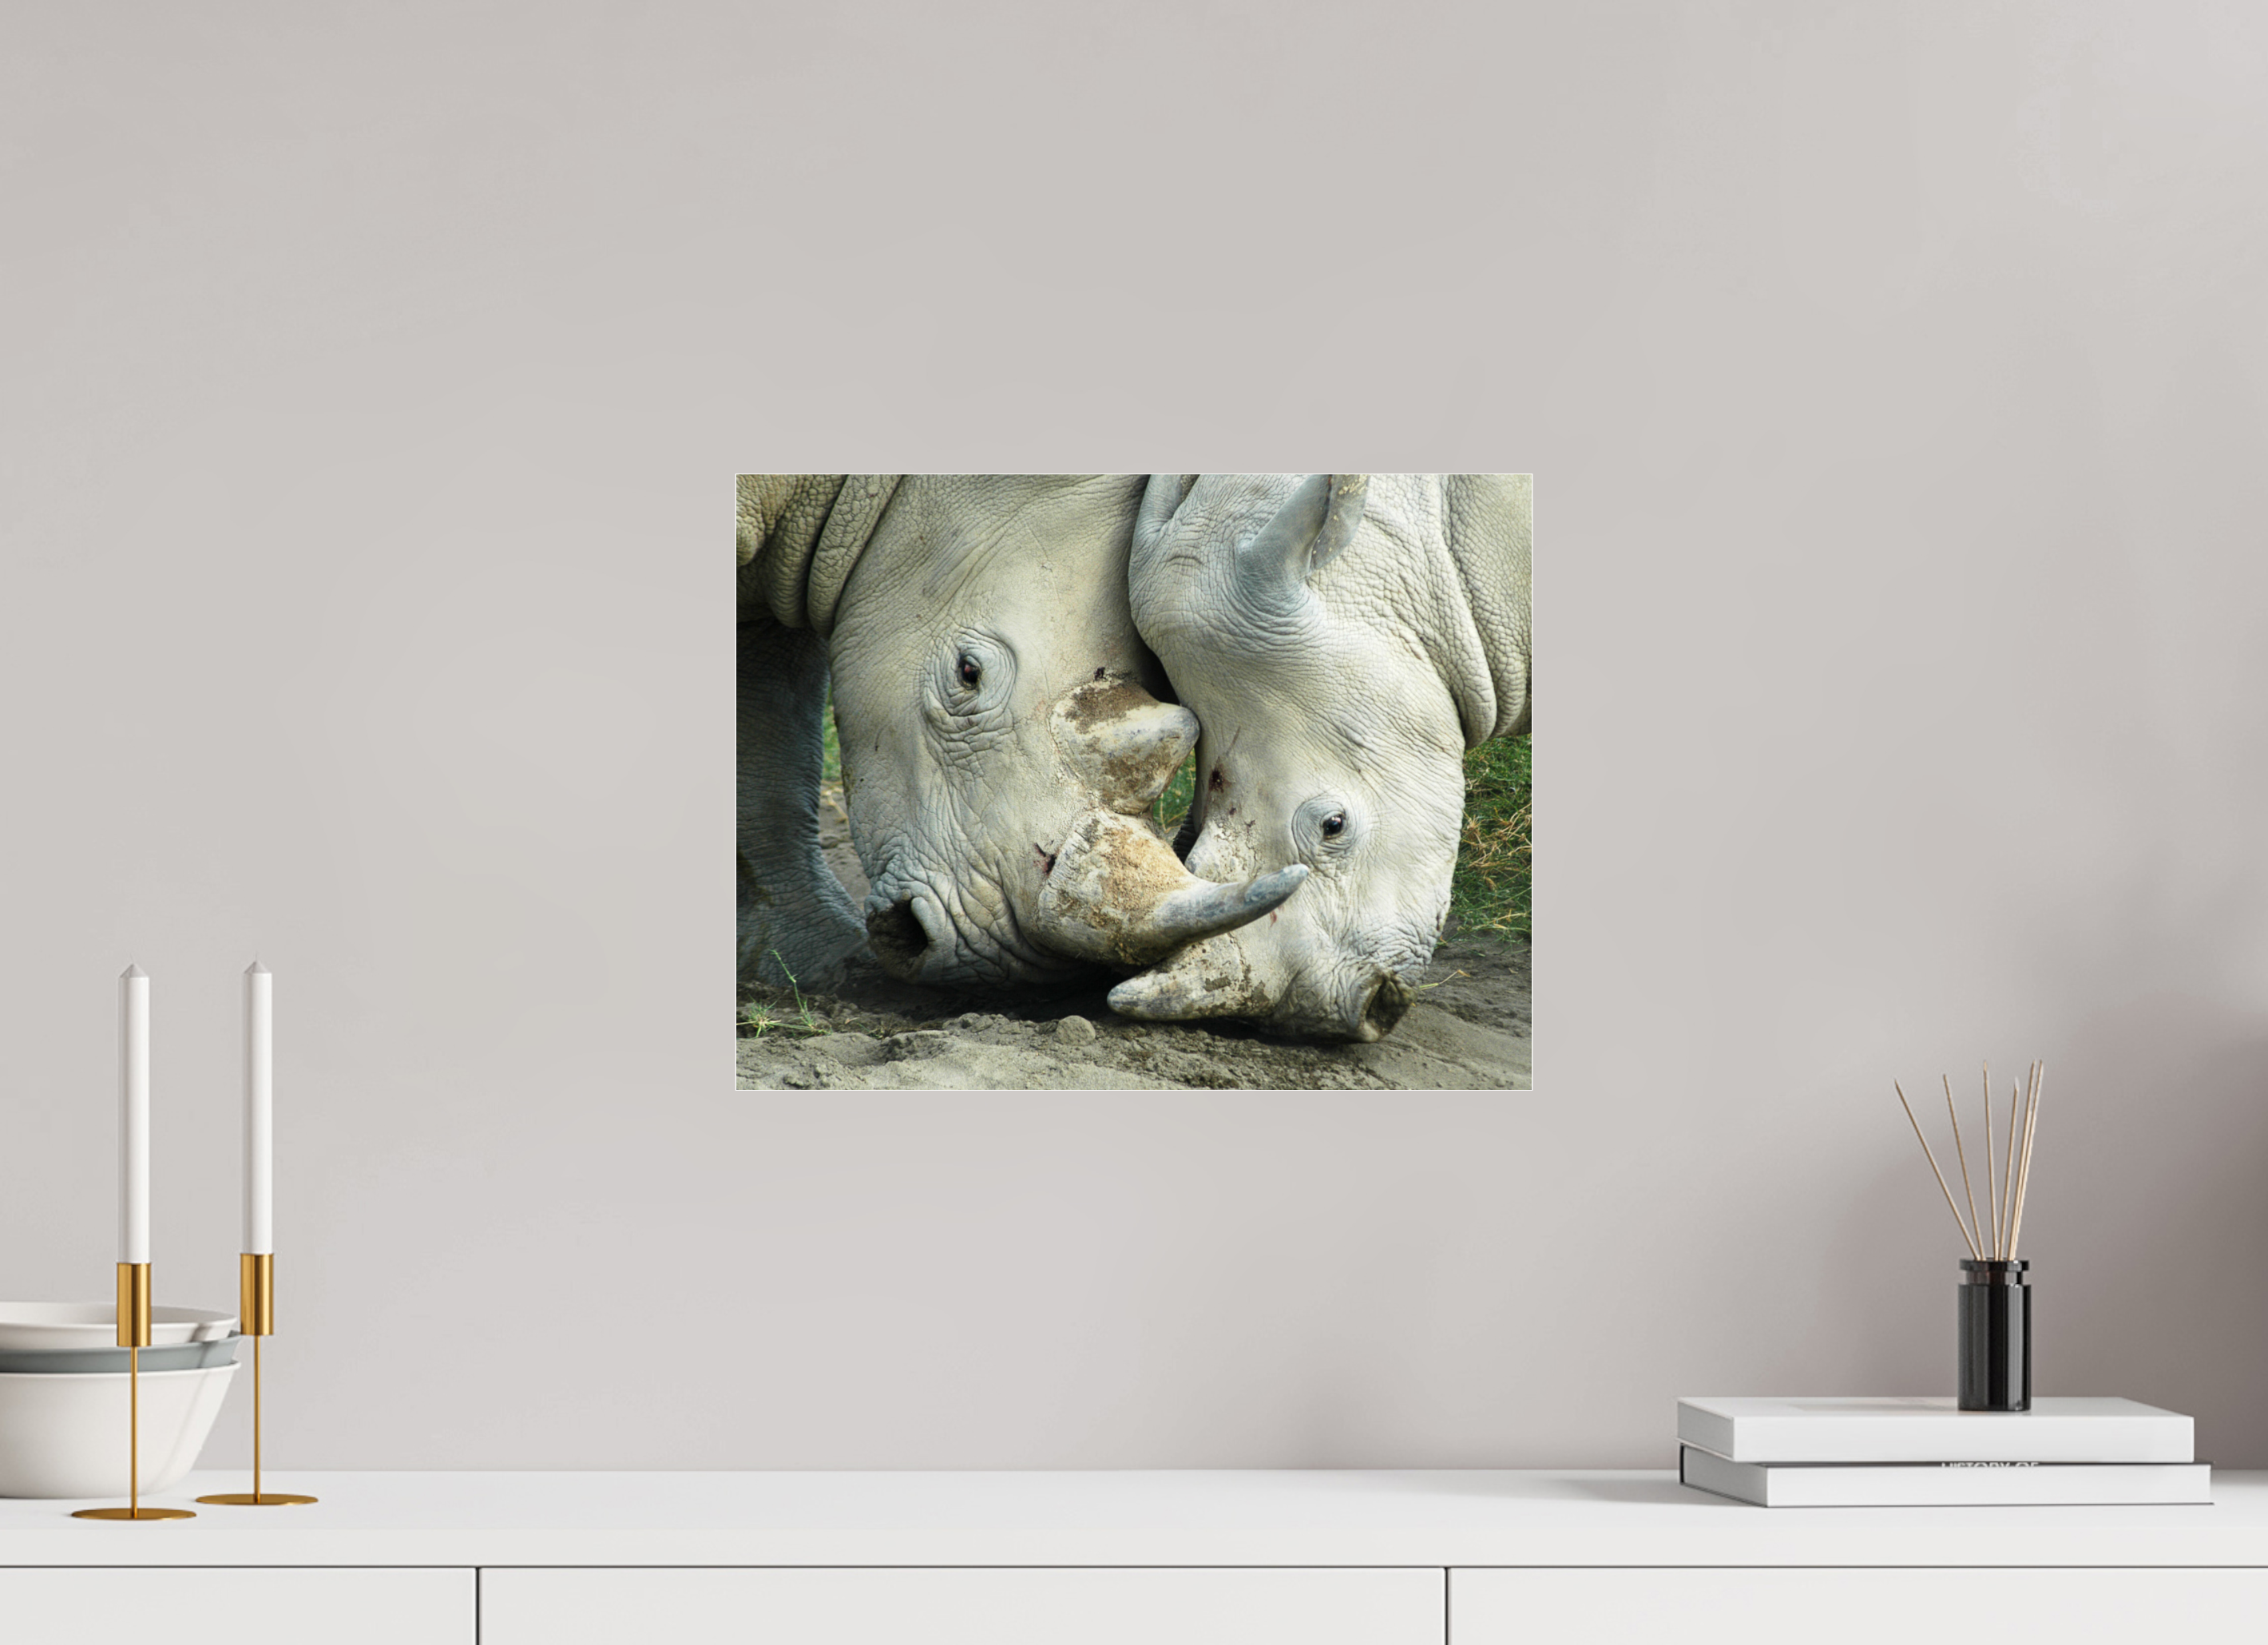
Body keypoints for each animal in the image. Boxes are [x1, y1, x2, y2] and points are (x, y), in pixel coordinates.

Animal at [737, 475, 1308, 992]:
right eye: (968, 672)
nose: (1002, 963)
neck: (863, 487)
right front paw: (820, 969)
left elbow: (767, 730)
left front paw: (816, 968)